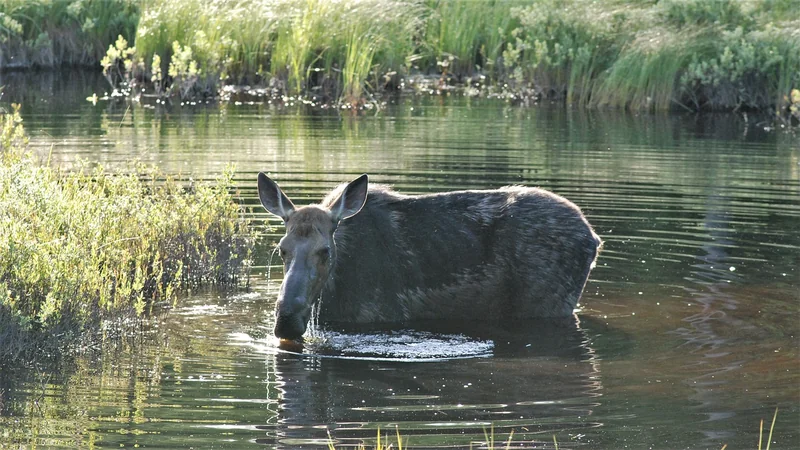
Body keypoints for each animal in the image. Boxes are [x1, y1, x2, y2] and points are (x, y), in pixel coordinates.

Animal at [260, 174, 604, 340]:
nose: (286, 318)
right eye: (282, 248)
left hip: (547, 304)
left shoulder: (378, 314)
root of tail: (594, 238)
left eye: (325, 251)